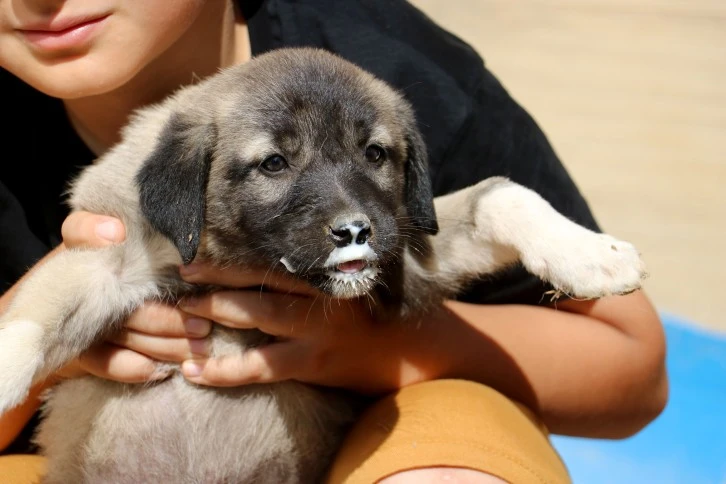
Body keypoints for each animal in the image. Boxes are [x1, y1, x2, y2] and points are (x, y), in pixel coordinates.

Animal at [0, 46, 648, 484]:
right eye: (274, 163)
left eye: (375, 153)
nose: (356, 231)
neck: (244, 257)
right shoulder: (109, 258)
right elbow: (38, 310)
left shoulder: (406, 252)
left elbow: (501, 195)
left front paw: (593, 255)